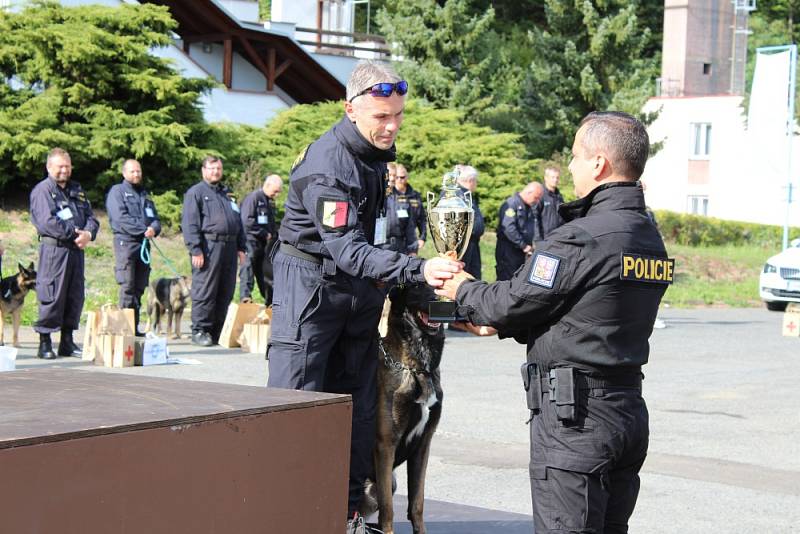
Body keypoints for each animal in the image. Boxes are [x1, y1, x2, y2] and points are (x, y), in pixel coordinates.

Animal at [360, 282, 446, 532]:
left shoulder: (423, 445)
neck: (416, 369)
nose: (437, 299)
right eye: (417, 285)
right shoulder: (385, 445)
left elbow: (417, 504)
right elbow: (388, 509)